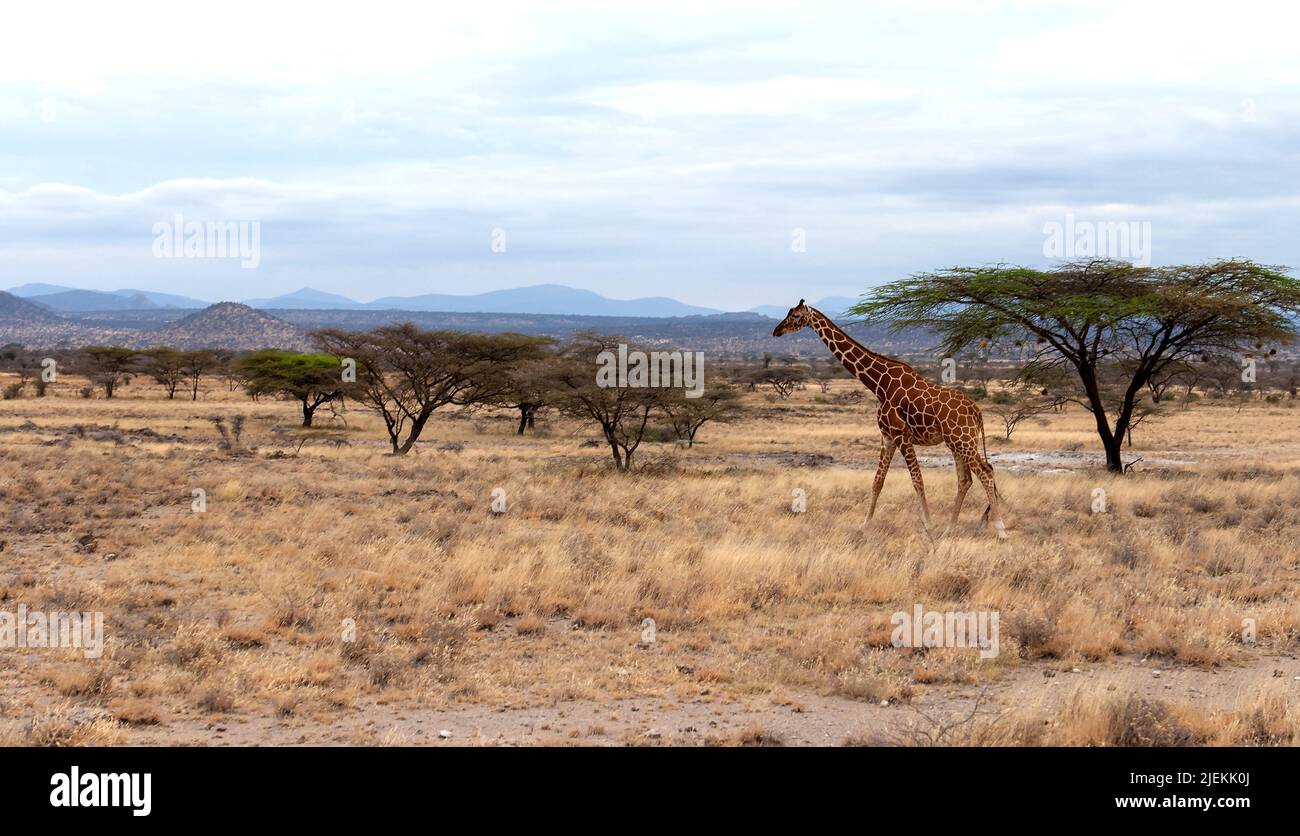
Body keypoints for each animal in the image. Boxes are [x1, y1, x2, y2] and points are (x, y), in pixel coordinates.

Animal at [772, 300, 1007, 539]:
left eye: (796, 315)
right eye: (789, 313)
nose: (777, 331)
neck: (879, 384)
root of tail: (976, 411)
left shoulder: (901, 435)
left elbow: (917, 480)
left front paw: (928, 526)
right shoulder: (887, 436)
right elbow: (878, 481)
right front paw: (865, 525)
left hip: (963, 440)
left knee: (986, 472)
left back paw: (1000, 530)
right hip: (957, 442)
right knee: (966, 479)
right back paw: (950, 529)